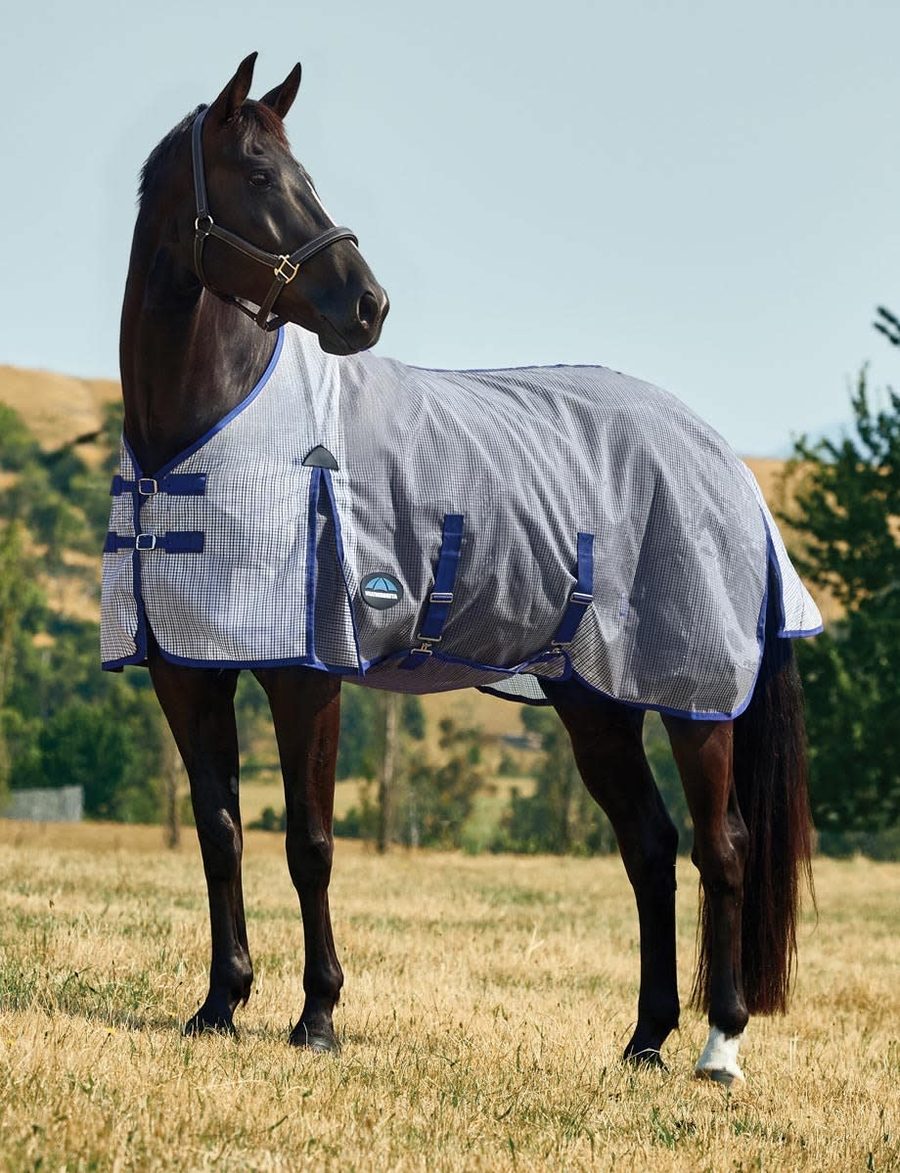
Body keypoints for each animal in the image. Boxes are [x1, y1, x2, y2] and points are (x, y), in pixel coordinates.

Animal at [107, 53, 818, 1087]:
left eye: (300, 171)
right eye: (261, 174)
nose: (367, 305)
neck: (208, 430)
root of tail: (722, 457)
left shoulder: (307, 673)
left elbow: (310, 842)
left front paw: (317, 1014)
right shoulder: (186, 670)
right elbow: (220, 831)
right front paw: (219, 1004)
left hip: (695, 697)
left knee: (722, 848)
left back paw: (720, 1046)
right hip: (594, 700)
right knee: (648, 847)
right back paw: (644, 1039)